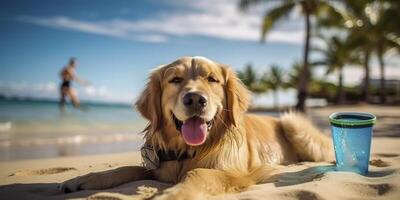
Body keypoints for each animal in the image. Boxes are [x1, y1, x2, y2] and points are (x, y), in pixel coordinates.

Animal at [60, 56, 334, 200]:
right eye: (175, 79)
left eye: (212, 79)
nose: (194, 99)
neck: (186, 151)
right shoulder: (157, 167)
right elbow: (125, 169)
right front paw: (82, 179)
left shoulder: (231, 172)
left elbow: (196, 174)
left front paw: (170, 195)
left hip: (292, 123)